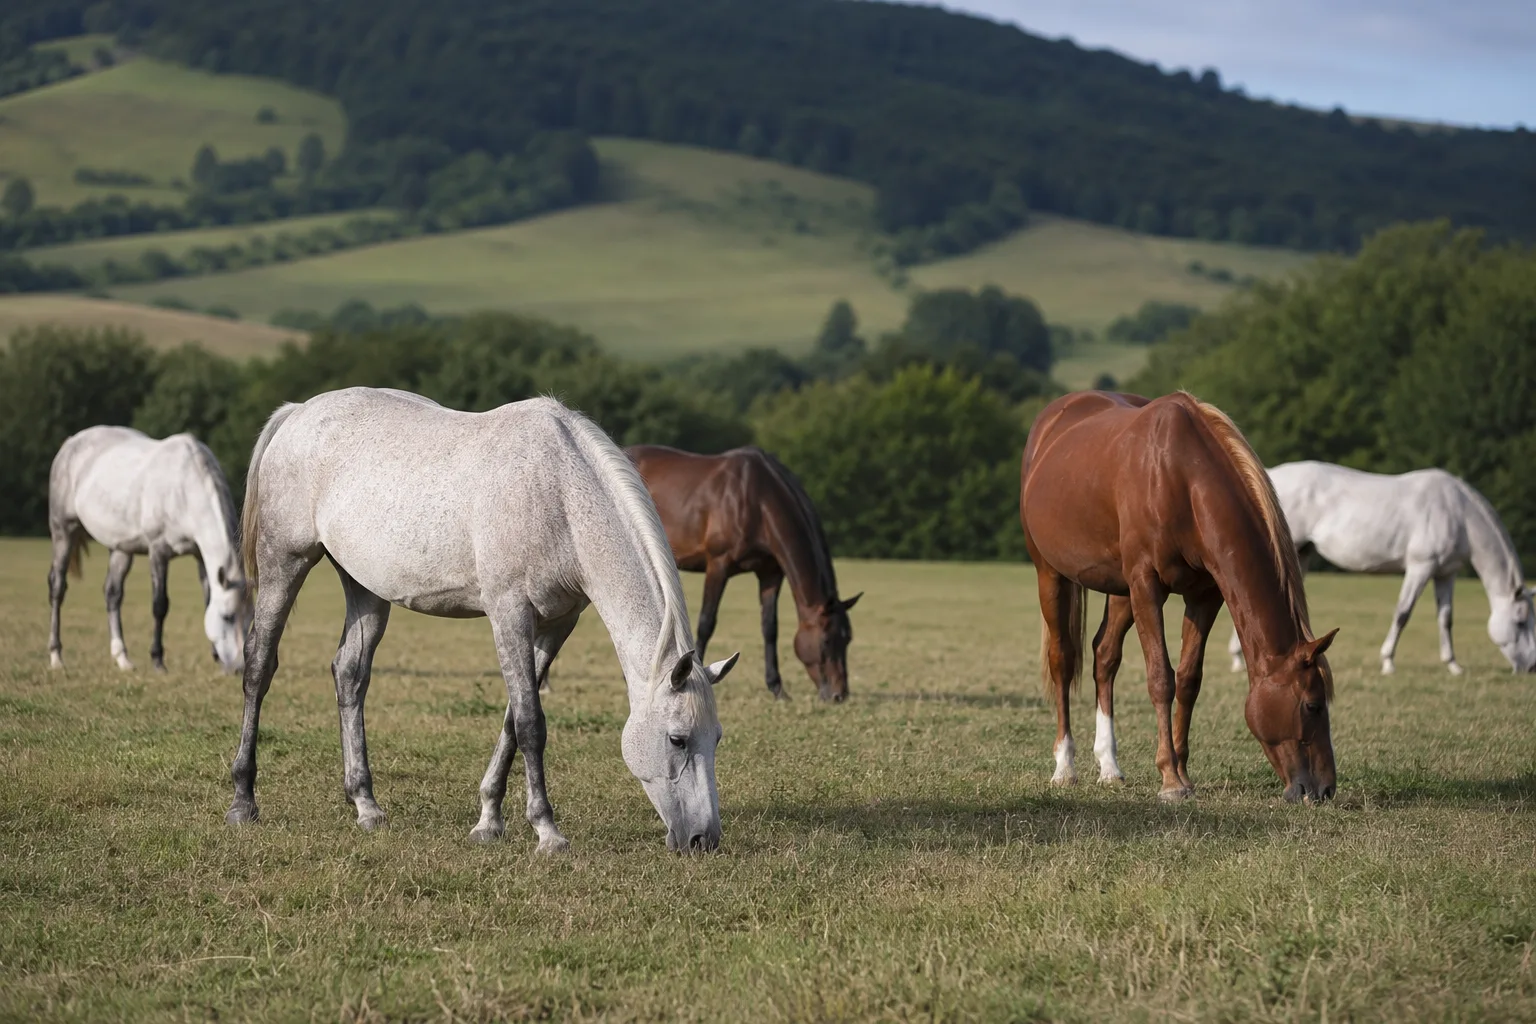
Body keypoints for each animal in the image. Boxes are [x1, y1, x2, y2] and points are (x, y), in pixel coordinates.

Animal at [47, 426, 250, 674]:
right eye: (227, 617)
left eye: (250, 617)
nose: (240, 667)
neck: (183, 489)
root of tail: (70, 443)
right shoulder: (158, 551)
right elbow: (160, 605)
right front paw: (158, 660)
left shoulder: (200, 556)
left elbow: (207, 598)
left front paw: (215, 656)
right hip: (63, 531)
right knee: (58, 587)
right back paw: (56, 657)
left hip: (121, 549)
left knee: (112, 594)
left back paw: (122, 659)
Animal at [234, 388, 738, 853]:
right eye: (677, 739)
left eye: (717, 739)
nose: (704, 839)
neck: (558, 496)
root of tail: (298, 411)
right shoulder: (509, 613)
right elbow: (531, 723)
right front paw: (547, 832)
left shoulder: (557, 624)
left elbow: (514, 720)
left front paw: (489, 820)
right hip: (285, 563)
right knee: (259, 665)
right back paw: (243, 801)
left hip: (364, 587)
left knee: (350, 675)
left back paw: (366, 805)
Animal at [627, 445, 860, 702]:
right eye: (827, 640)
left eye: (848, 638)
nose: (840, 694)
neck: (757, 500)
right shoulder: (718, 566)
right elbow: (706, 623)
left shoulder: (770, 574)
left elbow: (770, 628)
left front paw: (777, 688)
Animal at [1020, 391, 1339, 804]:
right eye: (1313, 705)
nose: (1325, 789)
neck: (1180, 479)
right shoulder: (1146, 584)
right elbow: (1161, 679)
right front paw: (1170, 780)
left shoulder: (1204, 595)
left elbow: (1188, 681)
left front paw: (1184, 774)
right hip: (1051, 574)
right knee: (1063, 660)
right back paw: (1065, 767)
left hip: (1120, 590)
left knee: (1104, 657)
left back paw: (1109, 766)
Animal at [1227, 462, 1536, 676]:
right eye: (1521, 621)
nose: (1531, 667)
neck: (1456, 512)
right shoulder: (1420, 567)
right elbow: (1403, 613)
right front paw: (1388, 662)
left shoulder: (1445, 574)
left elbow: (1445, 619)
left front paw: (1453, 666)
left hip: (1299, 555)